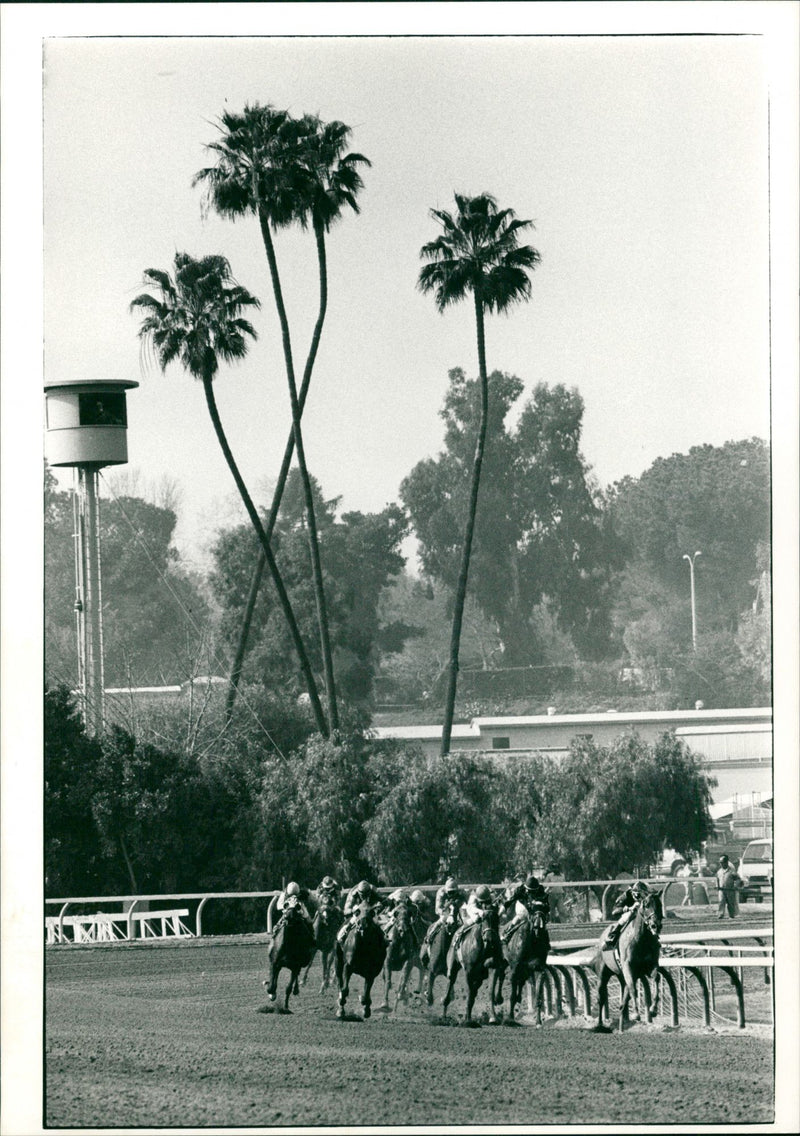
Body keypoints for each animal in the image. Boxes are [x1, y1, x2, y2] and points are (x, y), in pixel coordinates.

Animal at [595, 890, 663, 1036]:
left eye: (660, 905)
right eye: (645, 905)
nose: (655, 925)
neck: (641, 940)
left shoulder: (650, 965)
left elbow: (656, 978)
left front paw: (653, 1009)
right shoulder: (628, 968)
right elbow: (633, 988)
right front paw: (636, 1014)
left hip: (623, 976)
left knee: (622, 1003)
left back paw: (621, 1029)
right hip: (603, 973)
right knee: (601, 997)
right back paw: (600, 1025)